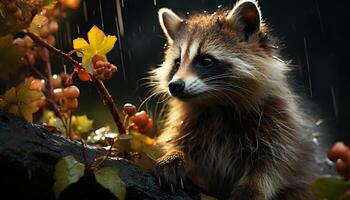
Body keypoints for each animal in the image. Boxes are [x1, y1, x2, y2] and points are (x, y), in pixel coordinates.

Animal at [152, 0, 316, 199]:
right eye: (177, 63)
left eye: (205, 60)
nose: (175, 86)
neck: (217, 103)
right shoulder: (188, 122)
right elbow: (180, 141)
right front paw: (174, 155)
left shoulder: (280, 122)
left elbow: (276, 163)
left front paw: (254, 187)